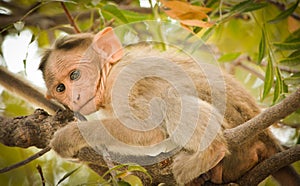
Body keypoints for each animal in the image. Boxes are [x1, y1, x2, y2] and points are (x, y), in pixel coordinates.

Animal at [37, 26, 300, 185]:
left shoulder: (126, 80)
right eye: (60, 88)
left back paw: (211, 151)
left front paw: (70, 135)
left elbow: (149, 129)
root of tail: (269, 139)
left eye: (75, 75)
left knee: (171, 98)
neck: (110, 73)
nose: (74, 97)